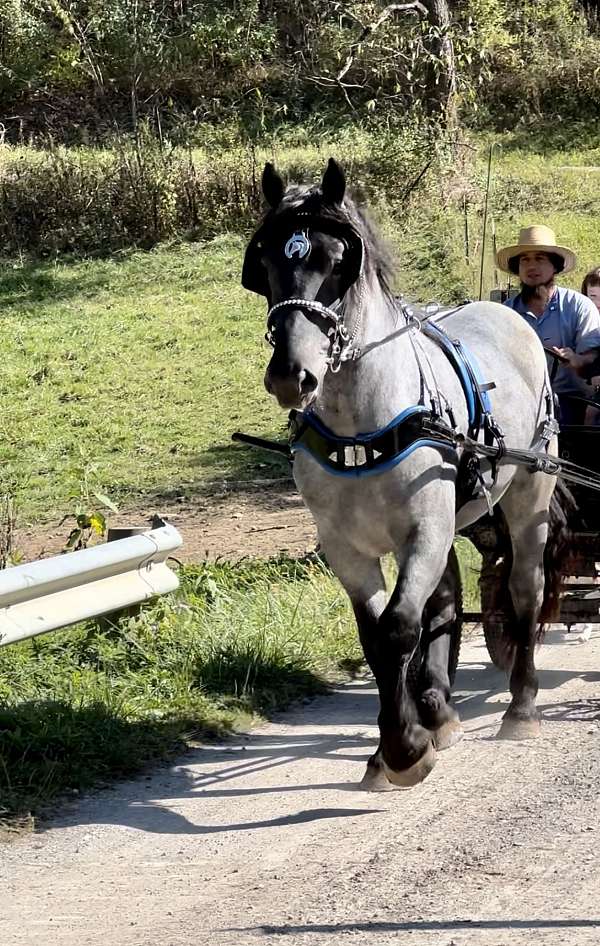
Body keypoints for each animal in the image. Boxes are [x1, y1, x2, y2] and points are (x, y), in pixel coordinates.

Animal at [241, 157, 564, 788]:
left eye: (336, 263)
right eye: (265, 262)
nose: (292, 375)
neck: (361, 424)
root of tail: (506, 311)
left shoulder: (425, 528)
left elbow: (397, 629)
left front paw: (405, 748)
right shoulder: (345, 546)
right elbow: (377, 635)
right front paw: (401, 739)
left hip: (527, 493)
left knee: (524, 591)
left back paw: (521, 705)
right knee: (444, 601)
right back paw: (439, 708)